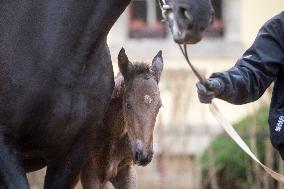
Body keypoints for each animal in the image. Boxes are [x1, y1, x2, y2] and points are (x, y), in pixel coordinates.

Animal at [80, 48, 163, 188]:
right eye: (128, 105)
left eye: (160, 106)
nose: (144, 155)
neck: (112, 134)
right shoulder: (89, 171)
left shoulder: (126, 169)